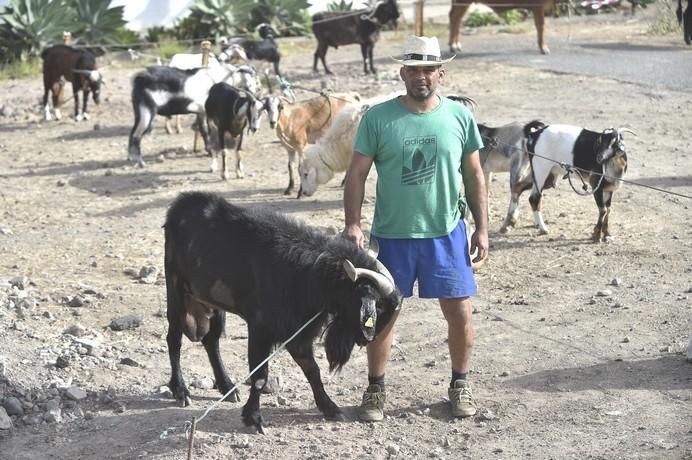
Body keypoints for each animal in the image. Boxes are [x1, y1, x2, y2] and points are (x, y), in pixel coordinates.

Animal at [164, 190, 400, 432]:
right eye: (379, 304)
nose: (367, 339)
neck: (305, 273)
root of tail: (180, 205)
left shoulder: (296, 332)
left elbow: (312, 370)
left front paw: (330, 408)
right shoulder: (260, 329)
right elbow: (260, 376)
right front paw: (253, 418)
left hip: (213, 306)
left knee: (211, 341)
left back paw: (227, 386)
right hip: (176, 292)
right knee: (174, 340)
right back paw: (181, 390)